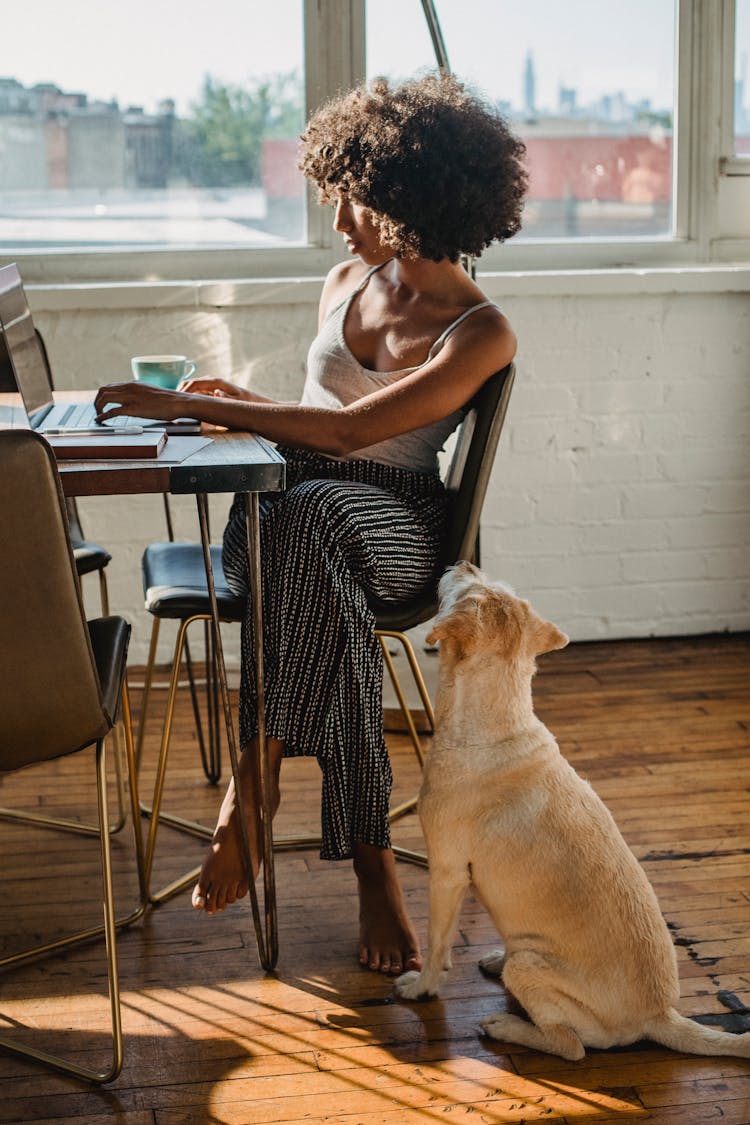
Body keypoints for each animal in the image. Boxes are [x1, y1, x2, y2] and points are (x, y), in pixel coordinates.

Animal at [393, 567, 750, 1057]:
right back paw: (499, 960)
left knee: (570, 1045)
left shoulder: (445, 873)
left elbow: (436, 942)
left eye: (467, 588)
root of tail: (658, 1016)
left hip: (531, 968)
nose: (466, 564)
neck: (494, 724)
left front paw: (421, 987)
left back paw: (507, 1026)